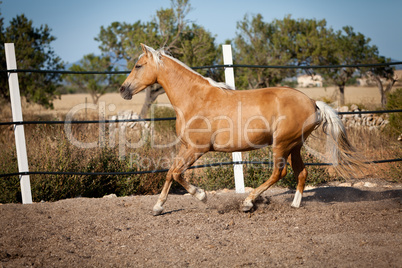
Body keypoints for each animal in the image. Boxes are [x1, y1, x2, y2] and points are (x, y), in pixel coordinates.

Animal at [118, 44, 364, 216]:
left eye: (138, 65)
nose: (123, 90)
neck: (194, 99)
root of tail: (313, 103)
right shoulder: (186, 146)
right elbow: (170, 172)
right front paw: (158, 208)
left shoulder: (197, 148)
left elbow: (177, 173)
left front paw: (202, 196)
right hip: (295, 146)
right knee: (301, 173)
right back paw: (294, 204)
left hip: (281, 144)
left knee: (279, 173)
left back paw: (247, 202)